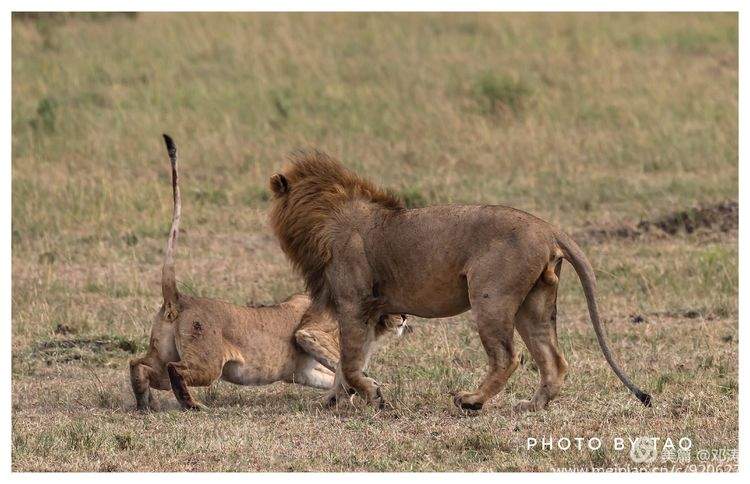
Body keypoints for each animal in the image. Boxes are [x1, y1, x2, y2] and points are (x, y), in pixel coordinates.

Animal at [129, 137, 406, 412]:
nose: (404, 317)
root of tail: (179, 298)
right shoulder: (310, 332)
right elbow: (342, 363)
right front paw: (369, 389)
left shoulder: (302, 372)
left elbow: (333, 376)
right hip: (208, 363)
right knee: (175, 370)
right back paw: (192, 405)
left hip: (162, 354)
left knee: (138, 365)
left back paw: (146, 403)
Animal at [268, 151, 652, 412]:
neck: (324, 215)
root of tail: (548, 228)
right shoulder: (371, 310)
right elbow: (350, 361)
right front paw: (333, 400)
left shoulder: (354, 301)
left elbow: (349, 361)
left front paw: (371, 394)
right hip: (535, 303)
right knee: (553, 360)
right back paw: (531, 406)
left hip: (490, 296)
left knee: (508, 357)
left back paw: (472, 401)